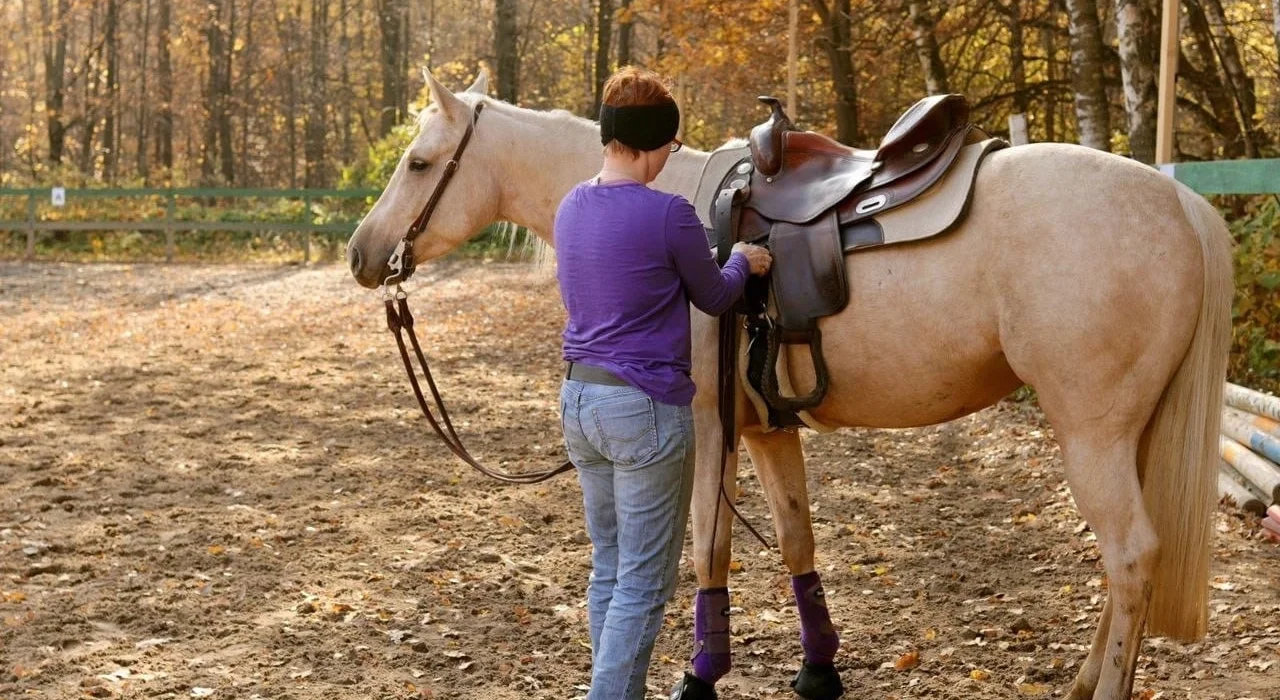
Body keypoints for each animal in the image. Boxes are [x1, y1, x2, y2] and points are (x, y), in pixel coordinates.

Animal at [345, 69, 1233, 700]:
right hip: (1128, 437)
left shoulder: (708, 431)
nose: (361, 253)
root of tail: (1175, 200)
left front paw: (700, 675)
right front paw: (818, 671)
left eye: (419, 162)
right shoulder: (768, 429)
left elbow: (710, 549)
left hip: (1092, 434)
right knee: (1128, 566)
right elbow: (799, 541)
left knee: (1130, 557)